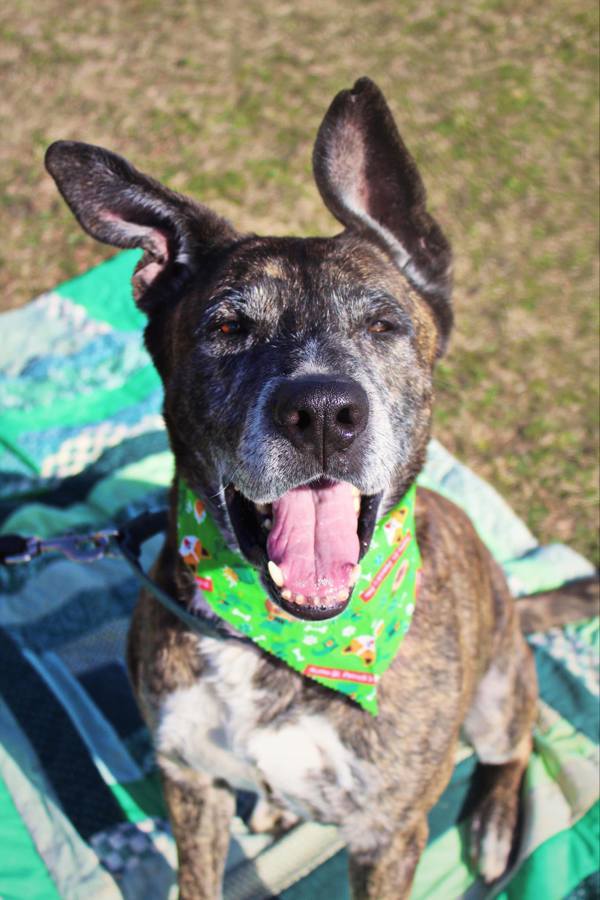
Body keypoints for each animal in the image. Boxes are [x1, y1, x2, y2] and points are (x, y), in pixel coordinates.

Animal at [44, 79, 536, 900]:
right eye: (227, 328)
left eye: (384, 325)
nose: (323, 412)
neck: (284, 645)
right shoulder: (191, 783)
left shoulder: (387, 835)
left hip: (498, 691)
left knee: (516, 742)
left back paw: (496, 824)